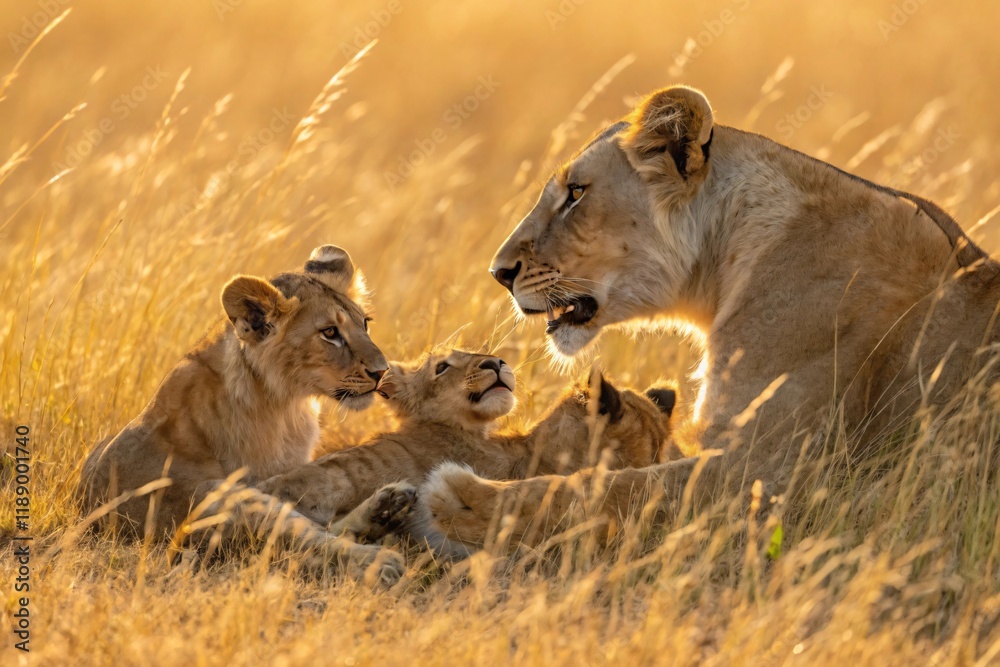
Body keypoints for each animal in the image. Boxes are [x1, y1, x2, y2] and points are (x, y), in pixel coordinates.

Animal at [76, 245, 405, 584]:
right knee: (303, 537)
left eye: (365, 323)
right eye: (329, 332)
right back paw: (377, 559)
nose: (382, 372)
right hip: (218, 499)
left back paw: (390, 505)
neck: (285, 405)